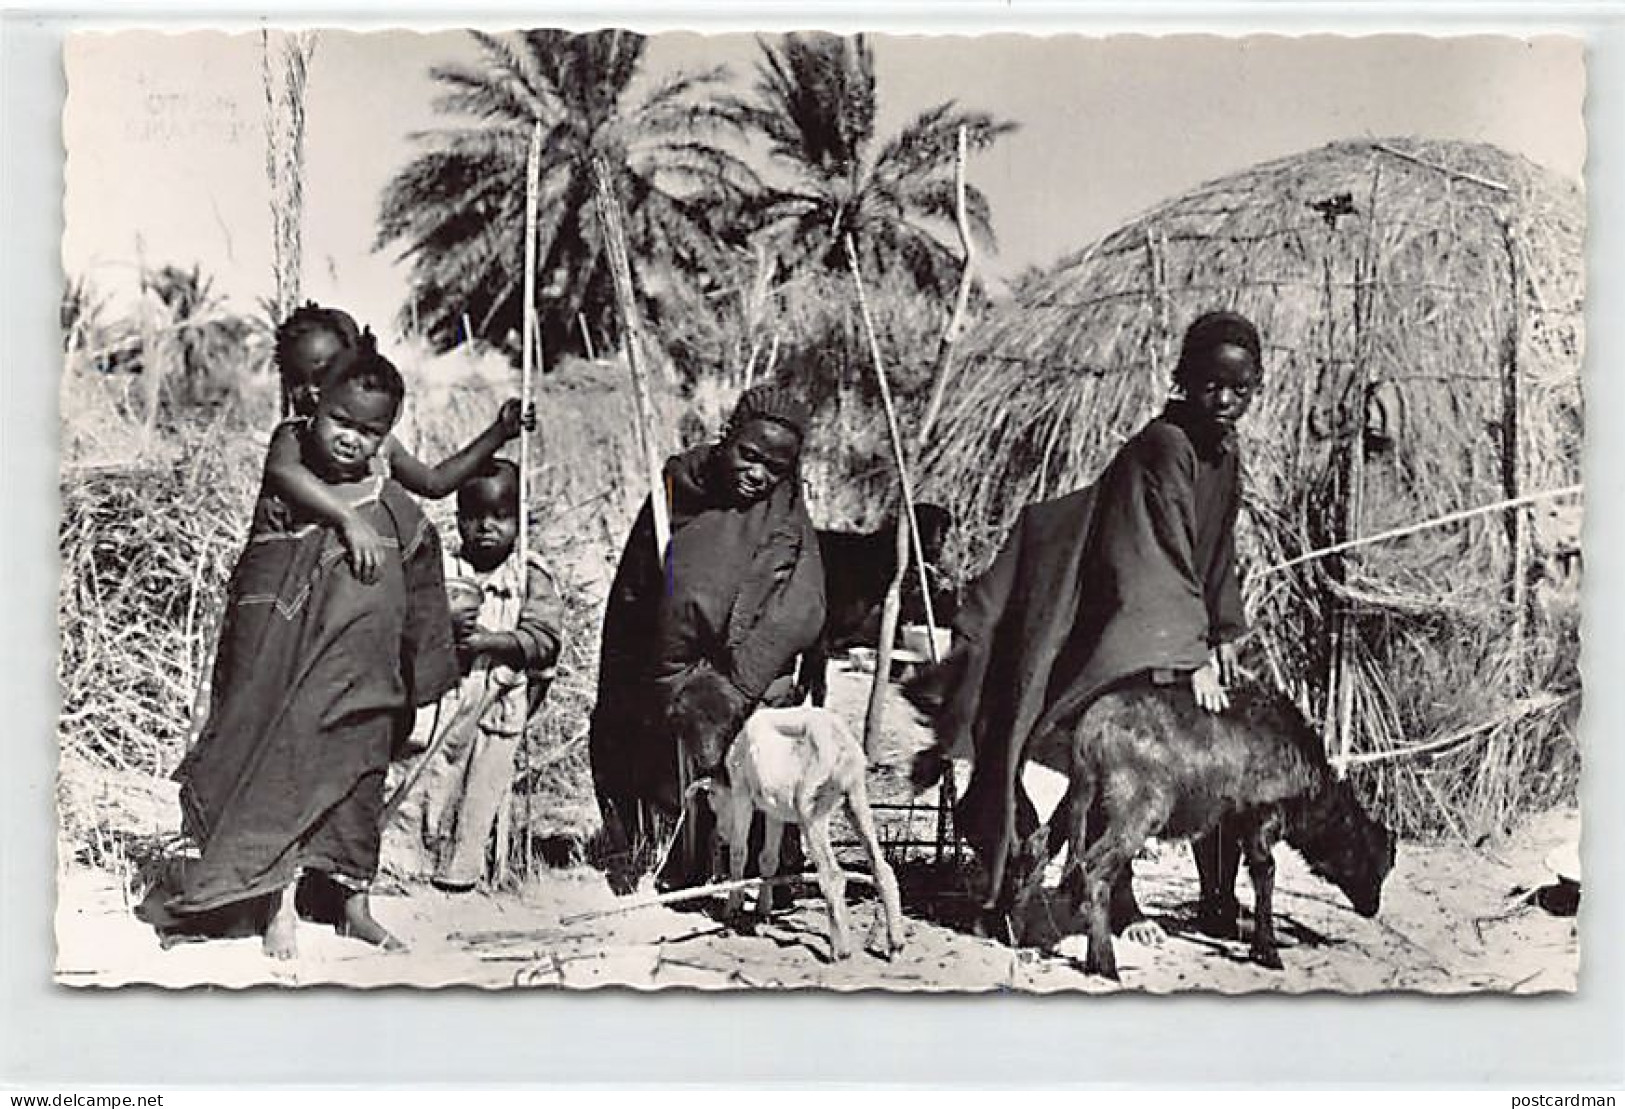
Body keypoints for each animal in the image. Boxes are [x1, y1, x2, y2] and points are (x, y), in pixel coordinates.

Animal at [796, 504, 949, 702]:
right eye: (920, 522)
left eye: (944, 529)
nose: (938, 545)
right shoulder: (822, 634)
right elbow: (816, 685)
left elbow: (805, 681)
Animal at [1007, 673, 1391, 975]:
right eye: (1374, 860)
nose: (1372, 908)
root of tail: (1089, 731)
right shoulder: (1261, 819)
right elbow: (1264, 874)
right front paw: (1267, 950)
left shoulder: (1228, 825)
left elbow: (1225, 870)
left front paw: (1224, 924)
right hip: (1137, 812)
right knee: (1095, 869)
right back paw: (1104, 965)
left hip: (1083, 802)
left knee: (1040, 847)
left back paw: (1017, 935)